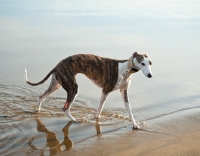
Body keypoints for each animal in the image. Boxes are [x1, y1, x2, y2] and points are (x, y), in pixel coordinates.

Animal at [25, 51, 153, 129]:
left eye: (150, 63)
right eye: (142, 63)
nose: (150, 75)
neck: (126, 69)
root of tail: (57, 66)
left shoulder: (123, 92)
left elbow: (129, 110)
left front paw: (135, 125)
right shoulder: (105, 91)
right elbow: (100, 107)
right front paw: (97, 119)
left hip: (56, 85)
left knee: (41, 96)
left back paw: (38, 110)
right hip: (72, 88)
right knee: (65, 108)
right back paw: (75, 120)